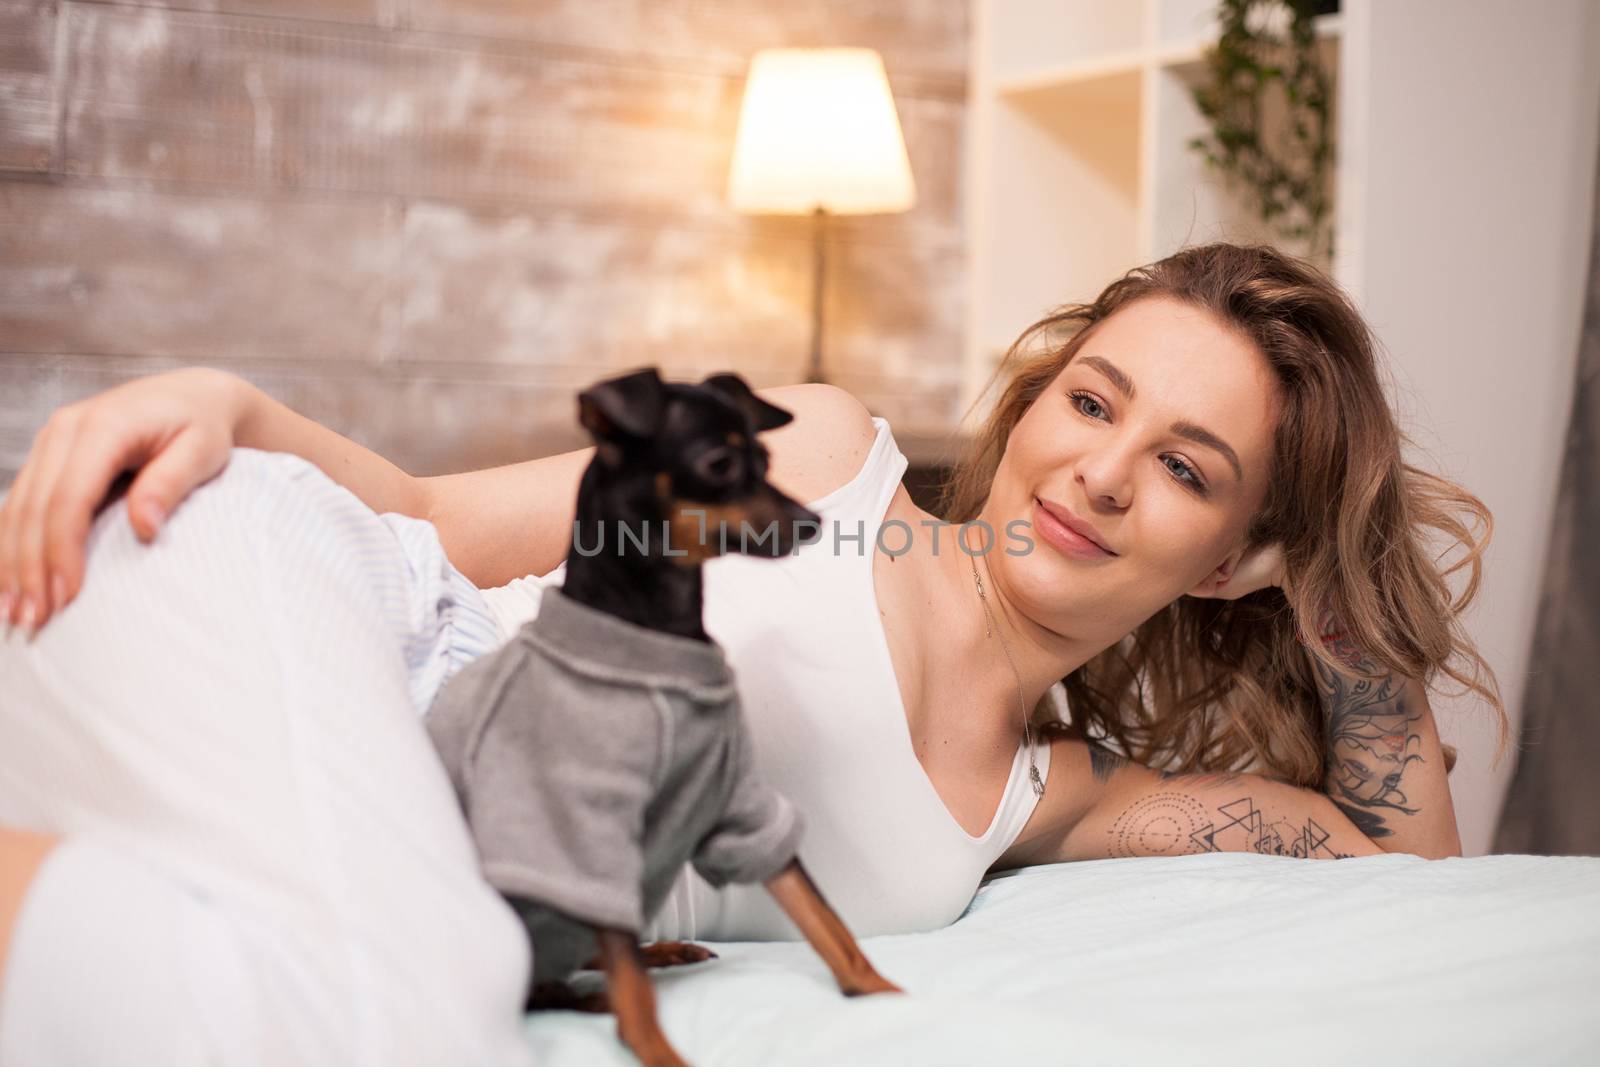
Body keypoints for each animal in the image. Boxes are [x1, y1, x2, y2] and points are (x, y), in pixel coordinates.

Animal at [425, 369, 902, 1067]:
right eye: (720, 465)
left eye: (766, 461)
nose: (814, 523)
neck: (660, 639)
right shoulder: (591, 834)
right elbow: (634, 995)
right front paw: (656, 1049)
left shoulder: (741, 803)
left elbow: (821, 914)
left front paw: (885, 994)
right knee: (561, 983)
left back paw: (661, 954)